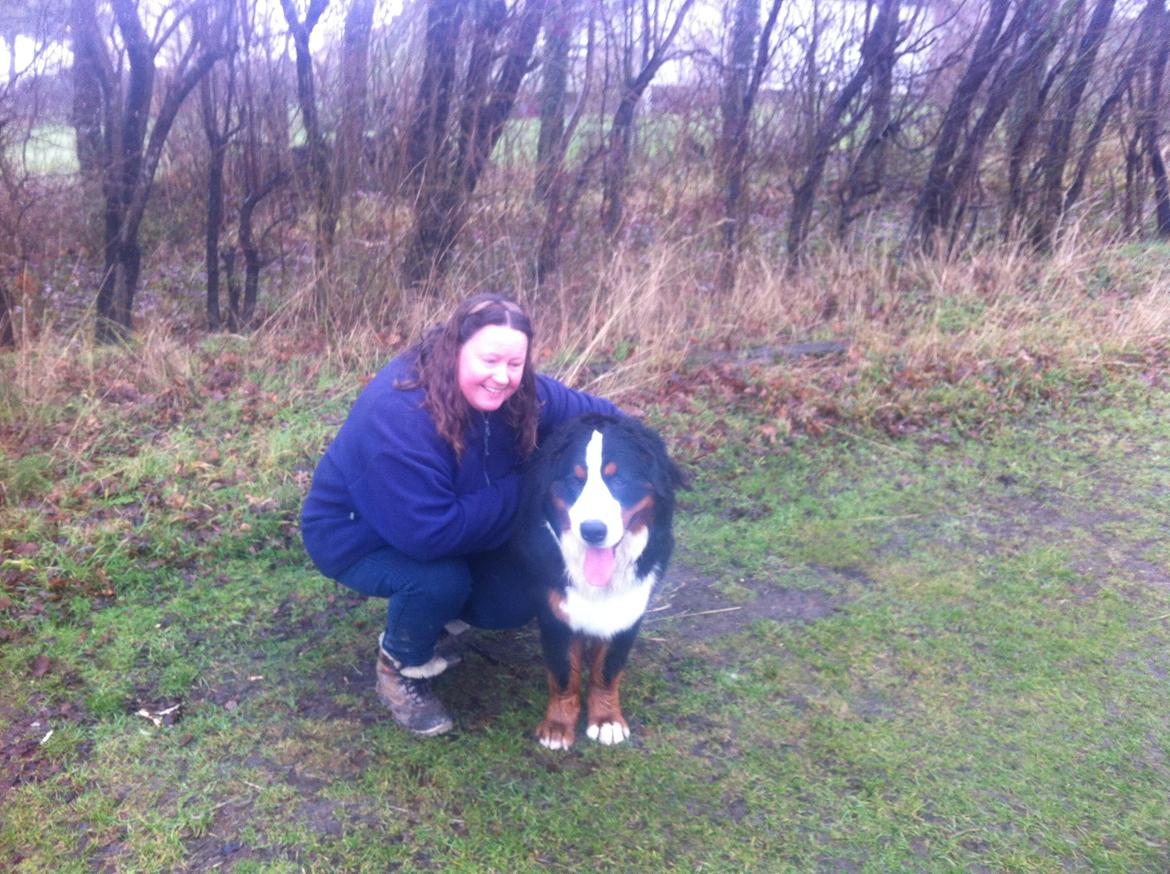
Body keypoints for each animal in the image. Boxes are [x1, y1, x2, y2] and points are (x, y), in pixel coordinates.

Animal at [512, 414, 683, 748]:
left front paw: (606, 720)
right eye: (575, 480)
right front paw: (558, 725)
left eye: (618, 480)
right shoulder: (556, 613)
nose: (593, 530)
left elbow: (607, 670)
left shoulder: (629, 610)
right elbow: (563, 673)